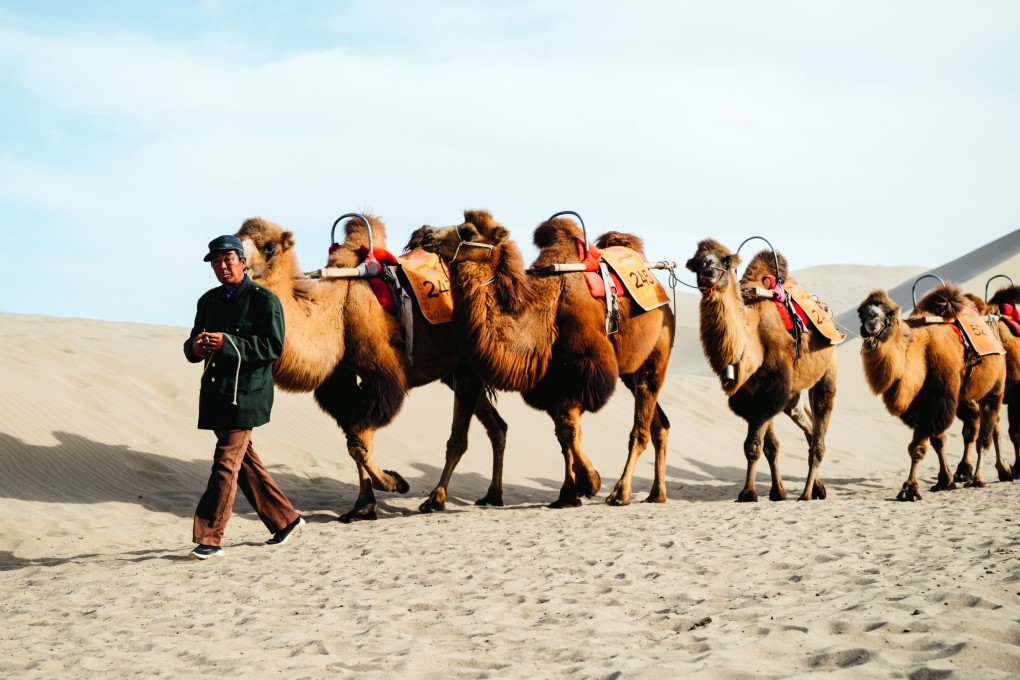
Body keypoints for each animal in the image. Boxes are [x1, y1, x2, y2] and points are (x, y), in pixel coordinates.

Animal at [235, 214, 509, 521]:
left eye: (269, 247)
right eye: (235, 237)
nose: (238, 264)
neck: (337, 310)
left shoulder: (383, 376)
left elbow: (357, 441)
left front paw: (395, 483)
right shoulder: (340, 380)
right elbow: (355, 438)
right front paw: (363, 505)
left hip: (467, 368)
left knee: (459, 438)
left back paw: (436, 499)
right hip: (454, 371)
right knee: (498, 426)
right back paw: (493, 495)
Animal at [419, 210, 675, 508]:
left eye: (468, 231)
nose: (427, 234)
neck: (545, 310)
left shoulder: (584, 372)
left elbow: (568, 431)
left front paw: (590, 482)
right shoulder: (551, 382)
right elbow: (564, 435)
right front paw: (569, 493)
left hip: (656, 356)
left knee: (640, 428)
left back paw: (621, 493)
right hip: (629, 371)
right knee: (660, 424)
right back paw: (657, 494)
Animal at [685, 240, 837, 502]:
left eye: (725, 259)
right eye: (696, 261)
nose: (707, 268)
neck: (751, 338)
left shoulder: (772, 388)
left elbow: (753, 445)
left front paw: (748, 493)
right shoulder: (750, 395)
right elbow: (769, 446)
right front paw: (777, 492)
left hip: (827, 372)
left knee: (819, 434)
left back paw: (807, 493)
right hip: (793, 395)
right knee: (808, 426)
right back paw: (818, 488)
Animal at [857, 284, 1005, 501]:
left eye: (889, 313)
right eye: (861, 313)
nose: (871, 318)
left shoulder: (937, 399)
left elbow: (917, 447)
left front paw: (910, 489)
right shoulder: (921, 403)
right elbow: (938, 441)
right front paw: (945, 480)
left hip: (995, 387)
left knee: (985, 434)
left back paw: (978, 478)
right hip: (964, 396)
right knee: (976, 424)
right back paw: (976, 470)